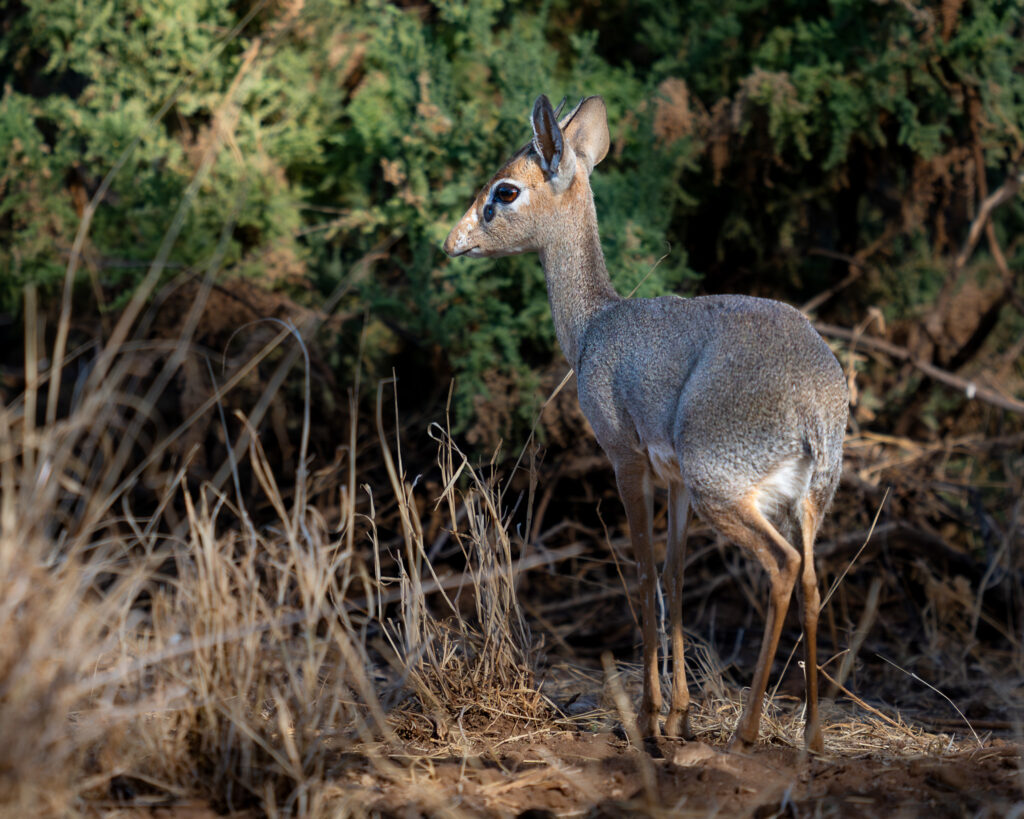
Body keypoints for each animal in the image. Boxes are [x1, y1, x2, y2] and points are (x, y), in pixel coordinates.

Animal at [442, 93, 849, 752]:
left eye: (505, 190)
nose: (454, 241)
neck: (594, 326)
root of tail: (814, 401)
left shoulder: (626, 460)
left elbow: (641, 575)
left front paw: (651, 718)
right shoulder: (675, 482)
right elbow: (675, 580)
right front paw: (680, 714)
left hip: (726, 492)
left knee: (783, 566)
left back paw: (746, 732)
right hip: (805, 500)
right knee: (812, 578)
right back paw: (811, 736)